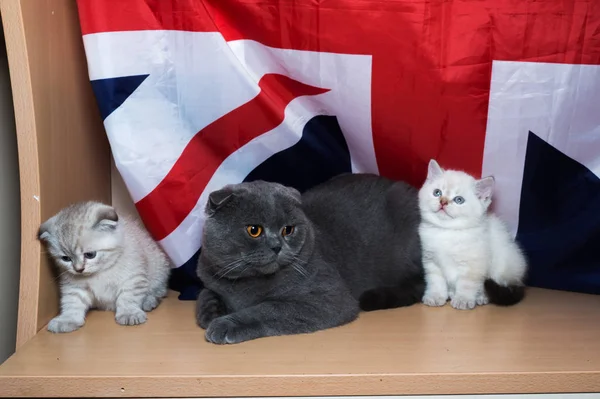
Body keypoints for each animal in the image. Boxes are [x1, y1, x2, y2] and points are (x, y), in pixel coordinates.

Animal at [38, 202, 172, 332]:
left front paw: (129, 313)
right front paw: (67, 319)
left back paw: (149, 302)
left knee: (158, 292)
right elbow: (72, 303)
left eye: (90, 255)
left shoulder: (133, 279)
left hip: (159, 271)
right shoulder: (74, 287)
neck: (99, 272)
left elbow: (128, 297)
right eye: (66, 258)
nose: (79, 269)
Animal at [196, 173, 422, 346]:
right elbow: (205, 295)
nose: (277, 246)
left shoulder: (329, 298)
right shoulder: (211, 275)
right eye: (254, 230)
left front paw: (224, 324)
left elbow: (268, 308)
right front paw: (211, 313)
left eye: (288, 230)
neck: (246, 284)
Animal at [418, 161, 524, 310]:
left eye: (459, 200)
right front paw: (435, 296)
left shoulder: (474, 264)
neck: (447, 231)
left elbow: (467, 284)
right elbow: (435, 281)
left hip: (503, 265)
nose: (443, 202)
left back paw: (480, 297)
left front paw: (463, 299)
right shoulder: (431, 261)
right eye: (437, 192)